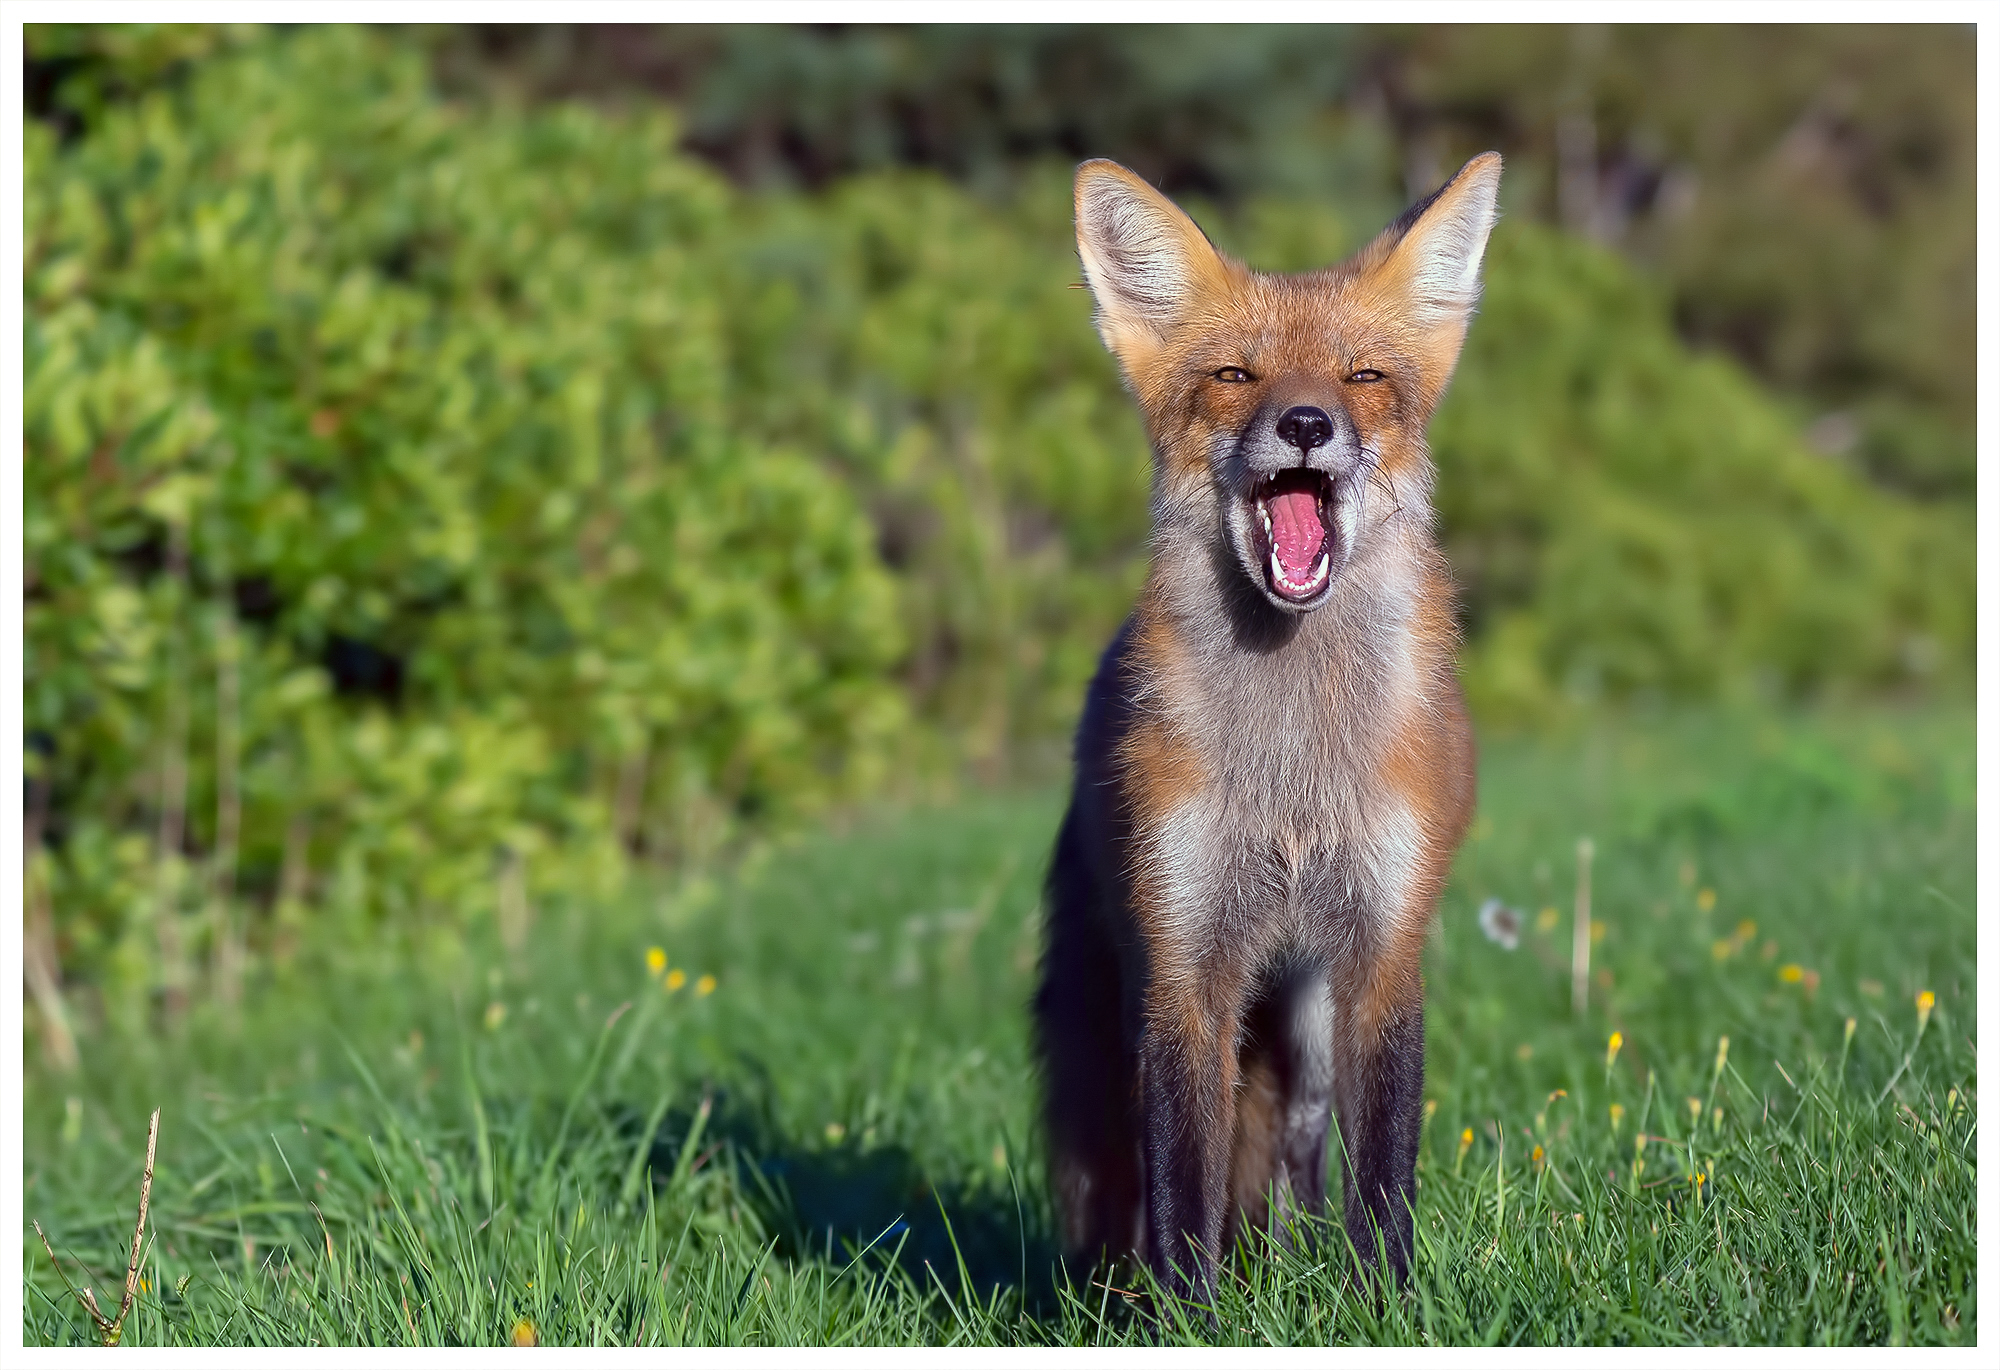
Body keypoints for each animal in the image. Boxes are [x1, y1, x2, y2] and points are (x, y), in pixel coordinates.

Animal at [1031, 152, 1501, 1302]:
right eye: (1238, 376)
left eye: (1362, 377)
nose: (1305, 425)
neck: (1291, 769)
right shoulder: (1183, 965)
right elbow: (1181, 1203)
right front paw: (1187, 1319)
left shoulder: (1382, 953)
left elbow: (1382, 1184)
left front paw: (1385, 1309)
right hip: (1118, 1003)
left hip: (1308, 1024)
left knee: (1298, 1163)